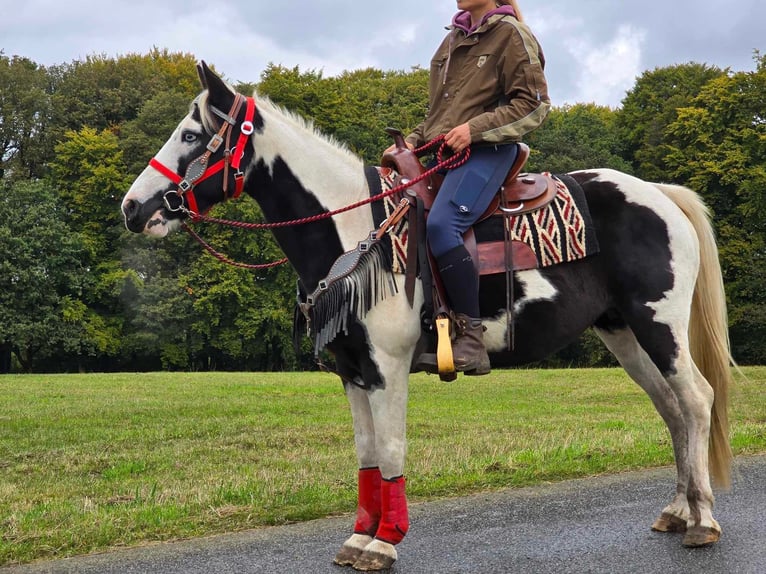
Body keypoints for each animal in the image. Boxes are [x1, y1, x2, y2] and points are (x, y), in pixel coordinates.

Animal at [121, 60, 736, 572]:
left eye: (192, 135)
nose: (132, 208)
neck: (356, 230)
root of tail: (658, 193)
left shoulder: (388, 368)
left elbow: (392, 450)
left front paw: (385, 541)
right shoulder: (353, 372)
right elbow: (367, 456)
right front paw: (360, 535)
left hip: (660, 326)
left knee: (696, 400)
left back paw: (703, 521)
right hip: (624, 333)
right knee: (672, 410)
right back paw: (677, 510)